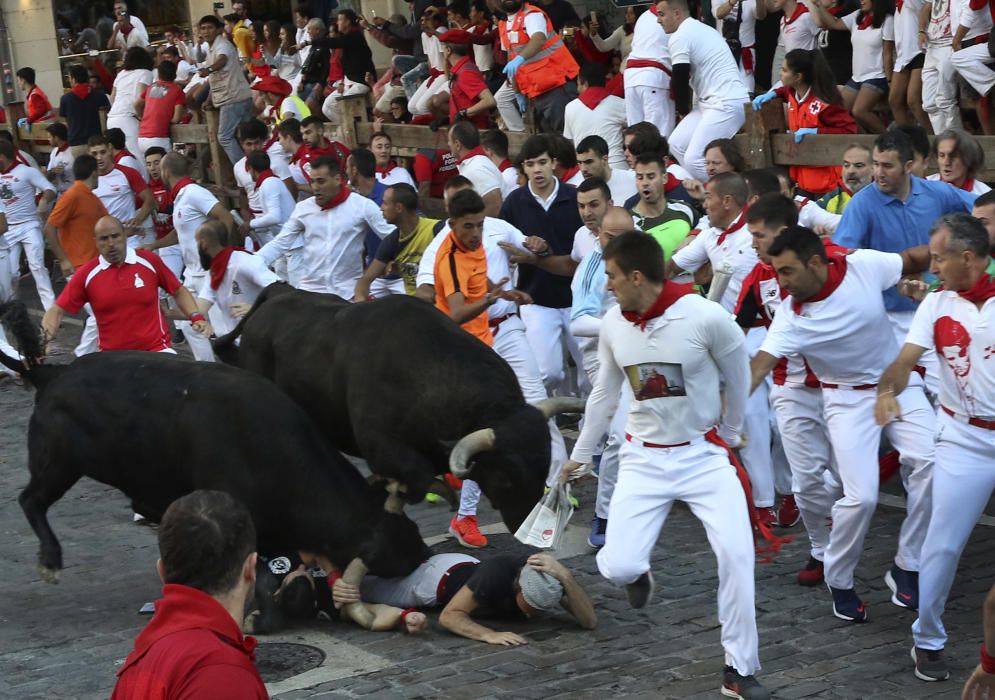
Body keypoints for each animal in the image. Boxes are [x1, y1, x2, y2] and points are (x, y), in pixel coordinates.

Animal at [0, 304, 426, 584]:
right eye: (396, 543)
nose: (424, 552)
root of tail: (52, 374)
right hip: (57, 464)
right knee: (31, 500)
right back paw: (50, 562)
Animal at [212, 284, 584, 532]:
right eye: (506, 476)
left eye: (544, 465)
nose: (525, 524)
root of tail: (278, 293)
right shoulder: (379, 443)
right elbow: (416, 476)